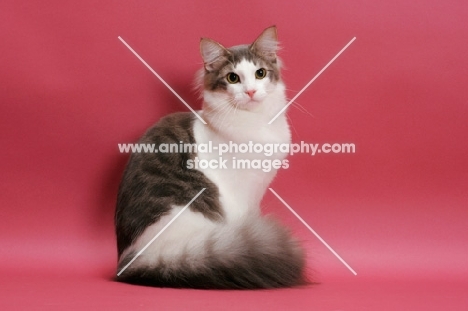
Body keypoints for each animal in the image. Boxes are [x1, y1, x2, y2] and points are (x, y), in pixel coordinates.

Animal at [115, 26, 308, 290]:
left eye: (260, 73)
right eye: (232, 78)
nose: (250, 92)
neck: (255, 122)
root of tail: (132, 260)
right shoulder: (241, 196)